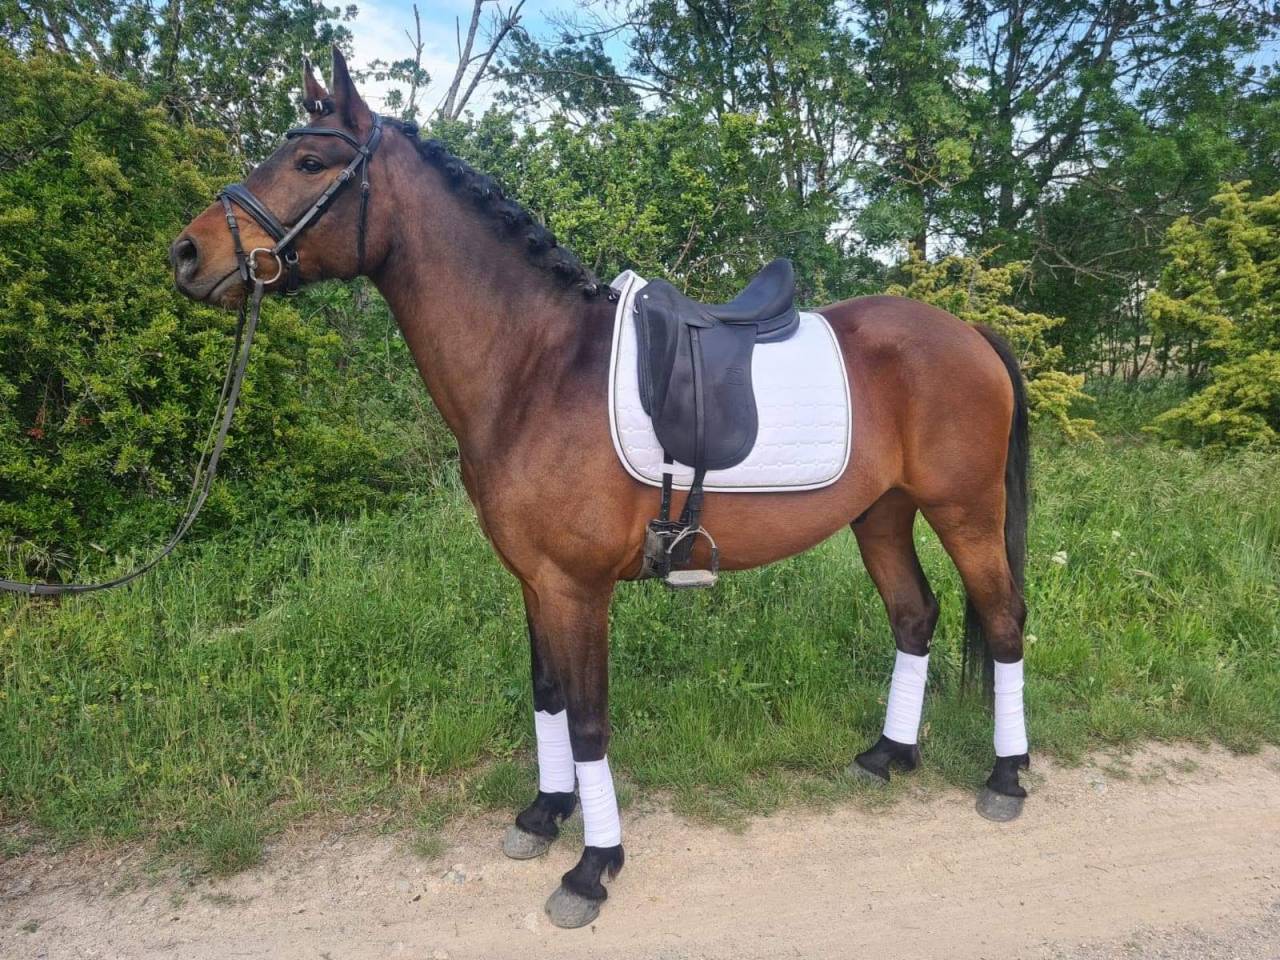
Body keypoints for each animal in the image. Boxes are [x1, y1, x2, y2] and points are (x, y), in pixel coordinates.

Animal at [171, 48, 1031, 929]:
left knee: (1002, 620)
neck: (534, 369)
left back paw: (1005, 777)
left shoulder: (577, 587)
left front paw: (592, 867)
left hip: (965, 512)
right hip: (881, 515)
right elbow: (548, 696)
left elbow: (588, 721)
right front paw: (544, 815)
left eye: (311, 163)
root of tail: (969, 333)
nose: (187, 254)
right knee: (915, 615)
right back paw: (890, 754)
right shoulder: (533, 580)